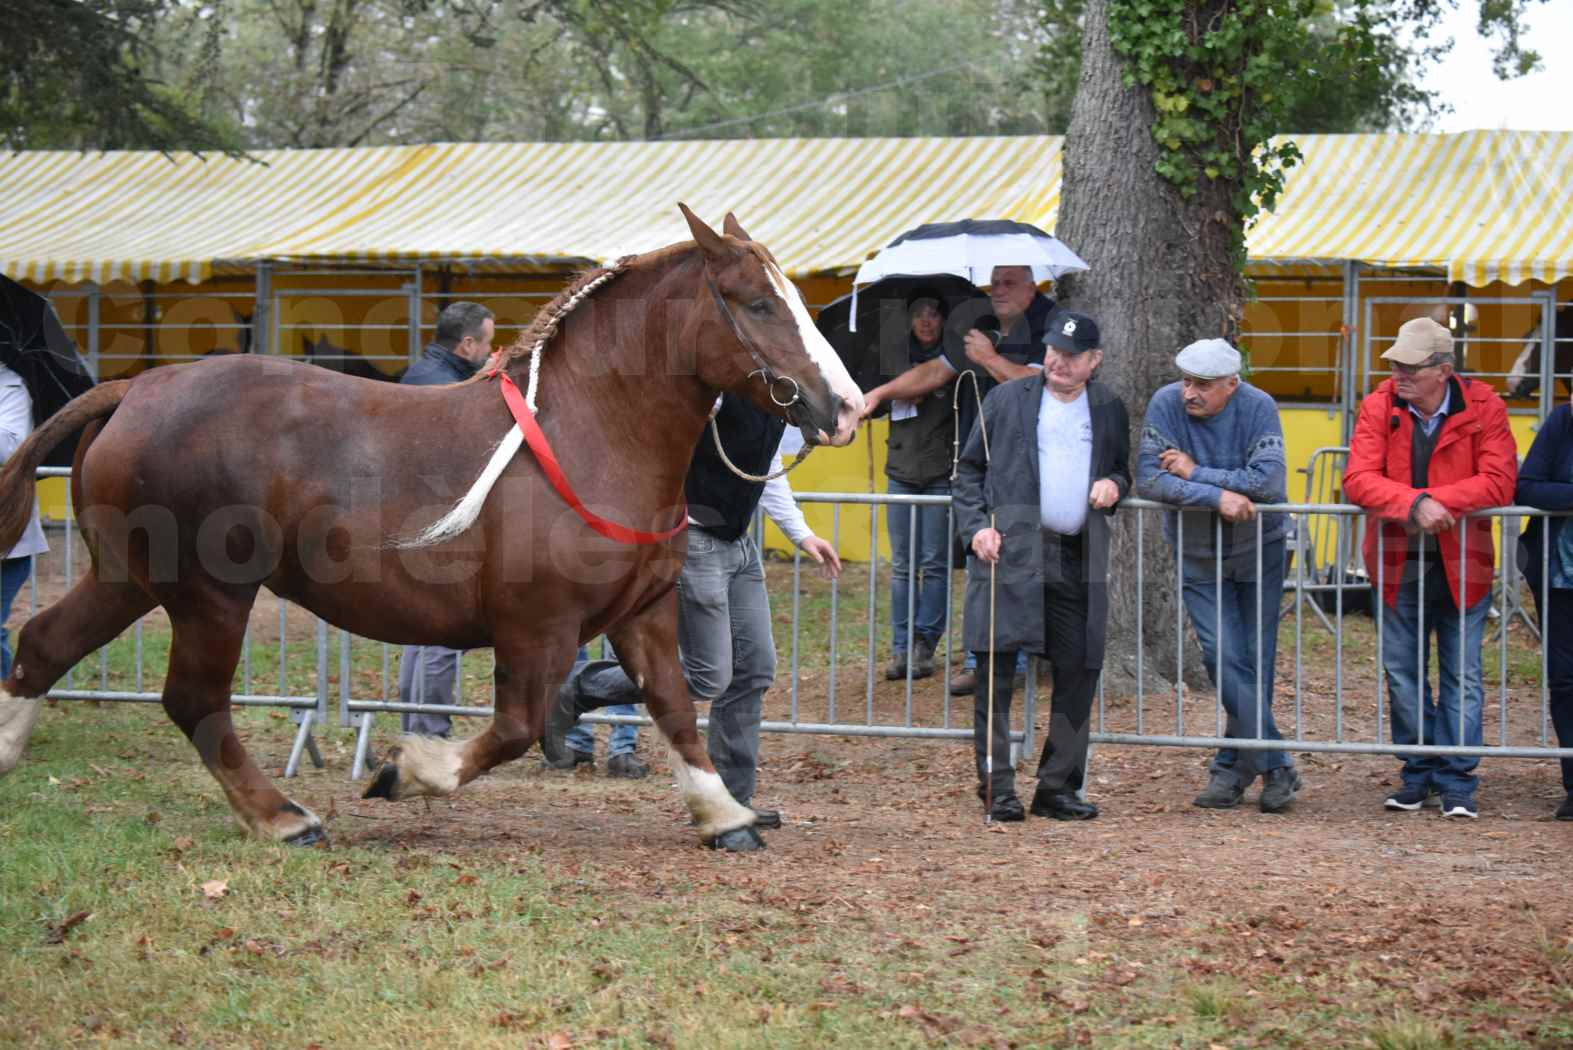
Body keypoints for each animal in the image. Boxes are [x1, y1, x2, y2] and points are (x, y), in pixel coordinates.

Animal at [0, 207, 862, 855]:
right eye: (756, 303)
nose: (847, 407)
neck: (588, 432)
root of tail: (137, 389)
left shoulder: (643, 612)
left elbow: (677, 706)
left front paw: (725, 814)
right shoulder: (537, 626)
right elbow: (513, 728)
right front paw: (406, 770)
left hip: (129, 577)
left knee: (43, 644)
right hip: (210, 595)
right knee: (193, 700)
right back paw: (282, 819)